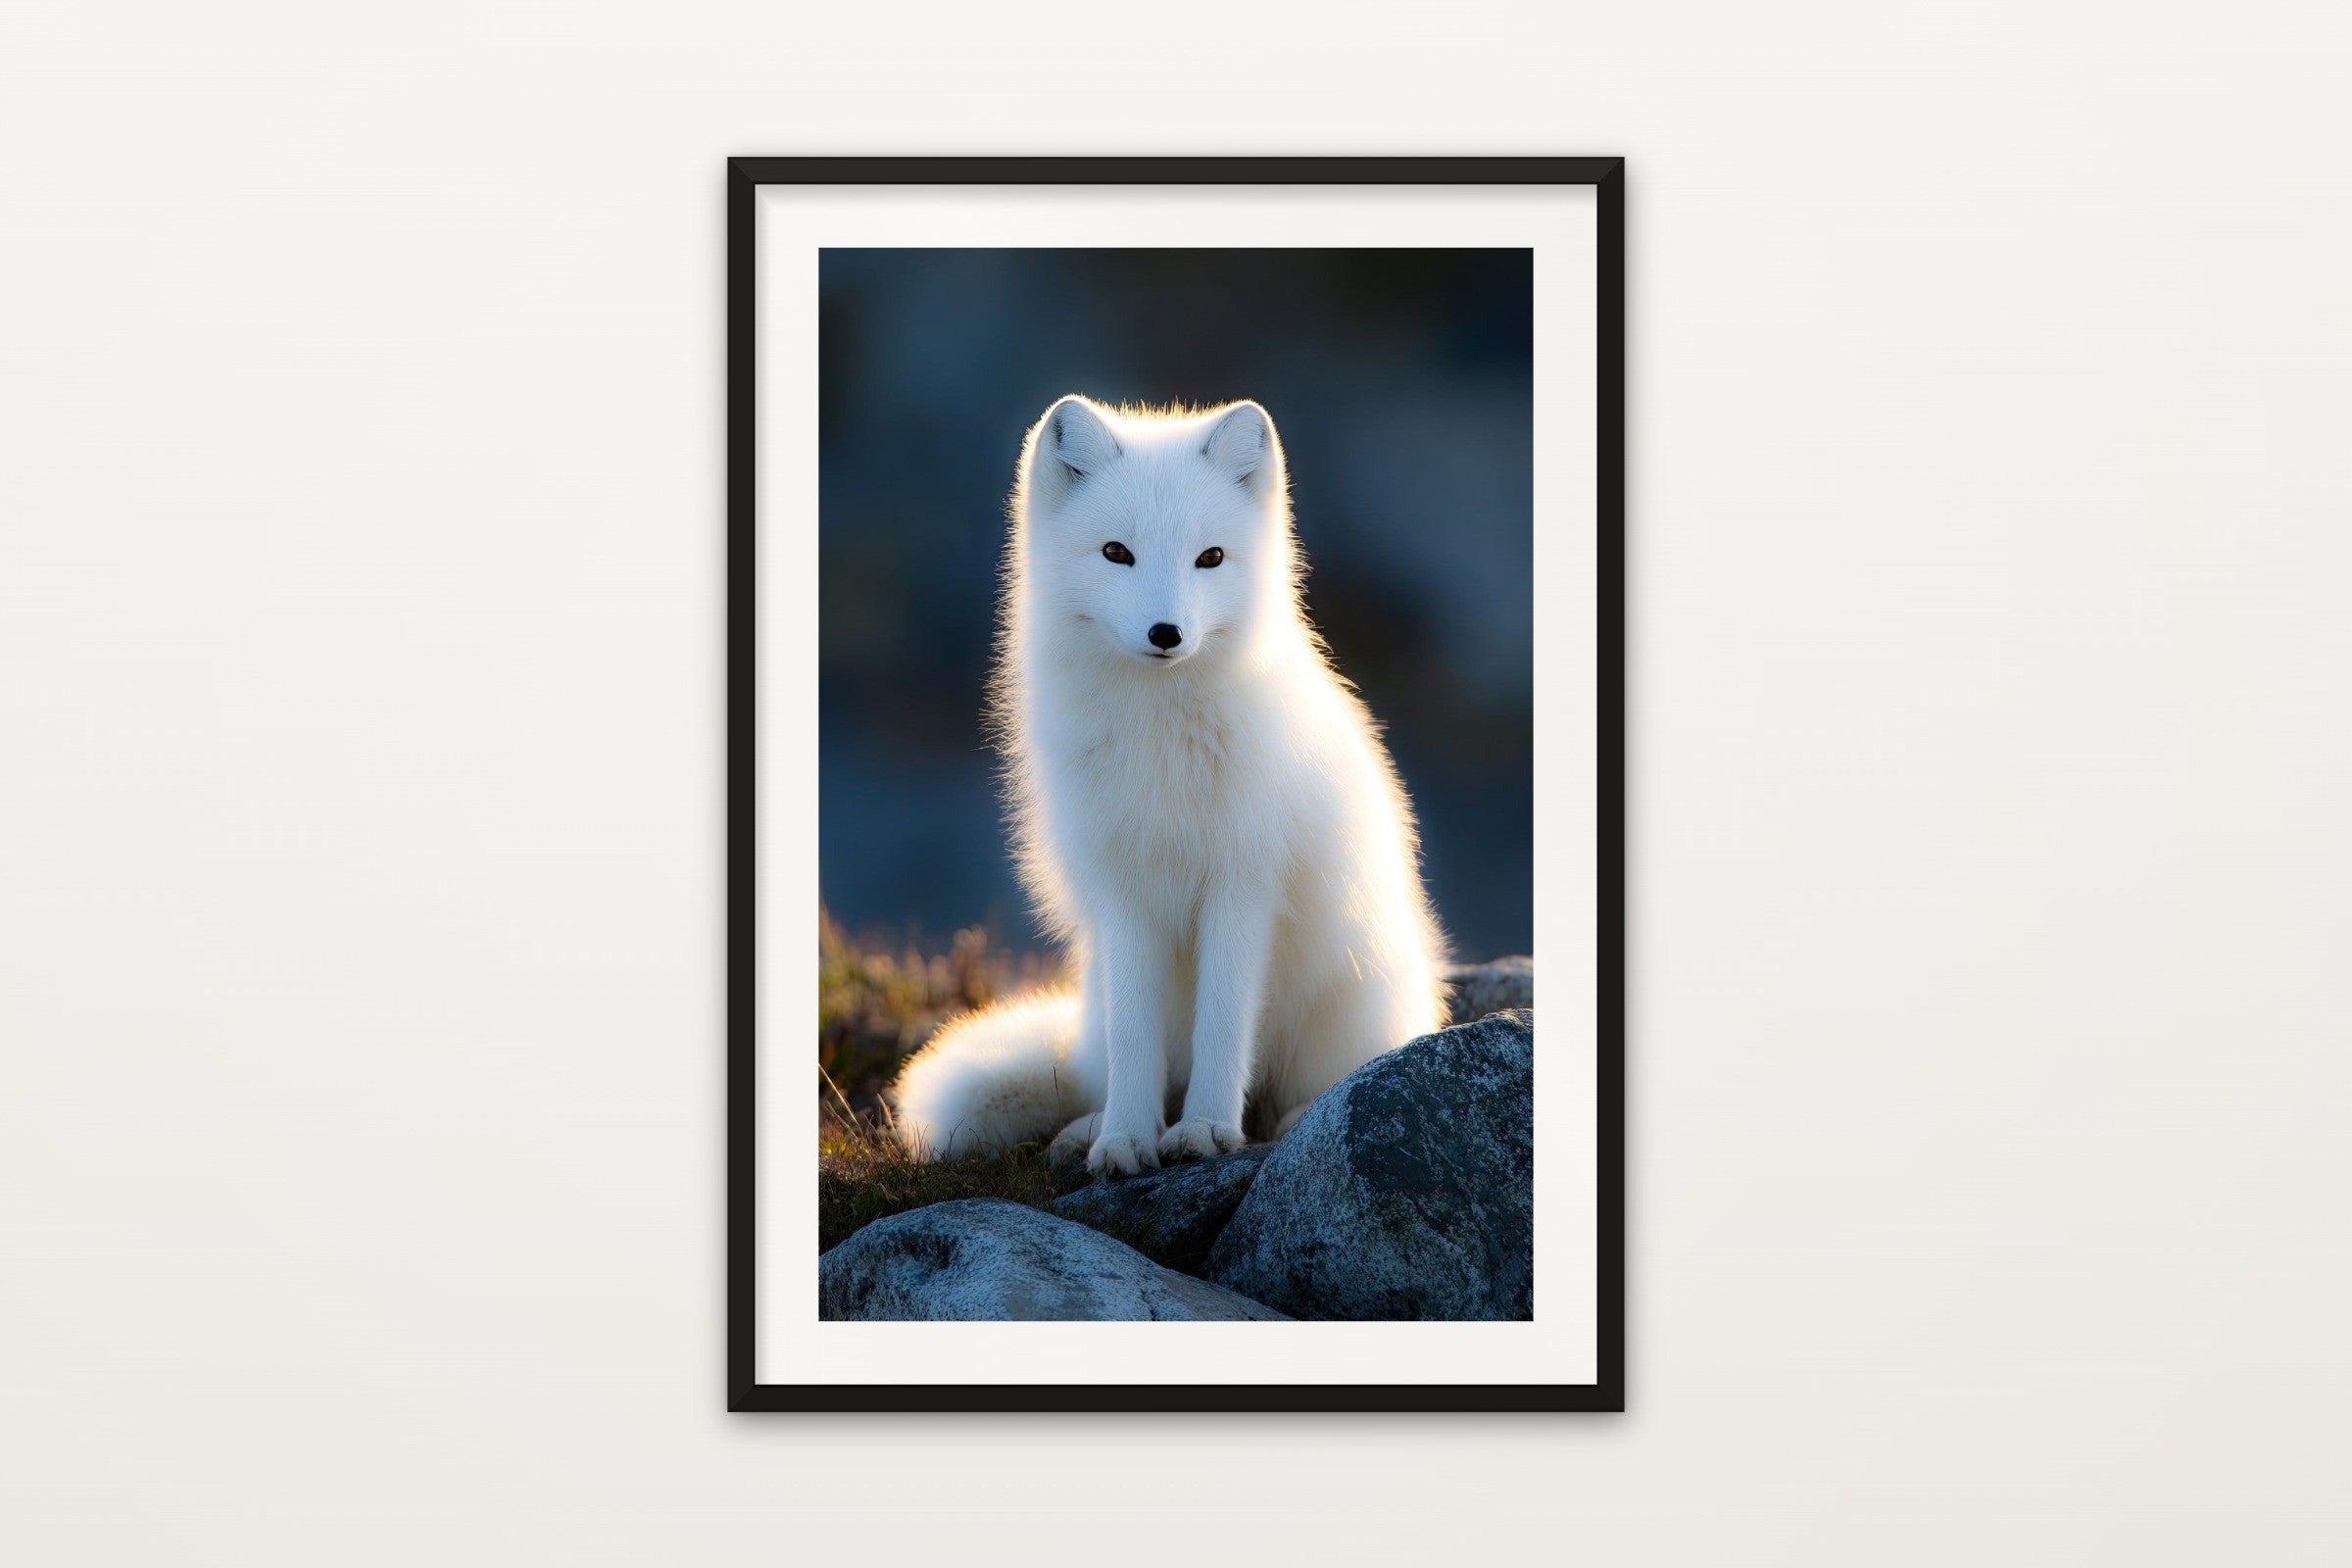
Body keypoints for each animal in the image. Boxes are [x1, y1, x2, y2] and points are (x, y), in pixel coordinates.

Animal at [889, 395, 1449, 1176]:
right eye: (1116, 553)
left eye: (1209, 557)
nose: (1166, 632)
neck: (1162, 742)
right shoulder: (1124, 891)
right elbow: (1136, 1038)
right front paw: (1126, 1138)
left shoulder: (1244, 882)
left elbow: (1224, 1023)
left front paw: (1207, 1129)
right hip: (1097, 993)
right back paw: (1091, 1126)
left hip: (1350, 1000)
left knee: (1313, 1081)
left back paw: (1288, 1115)